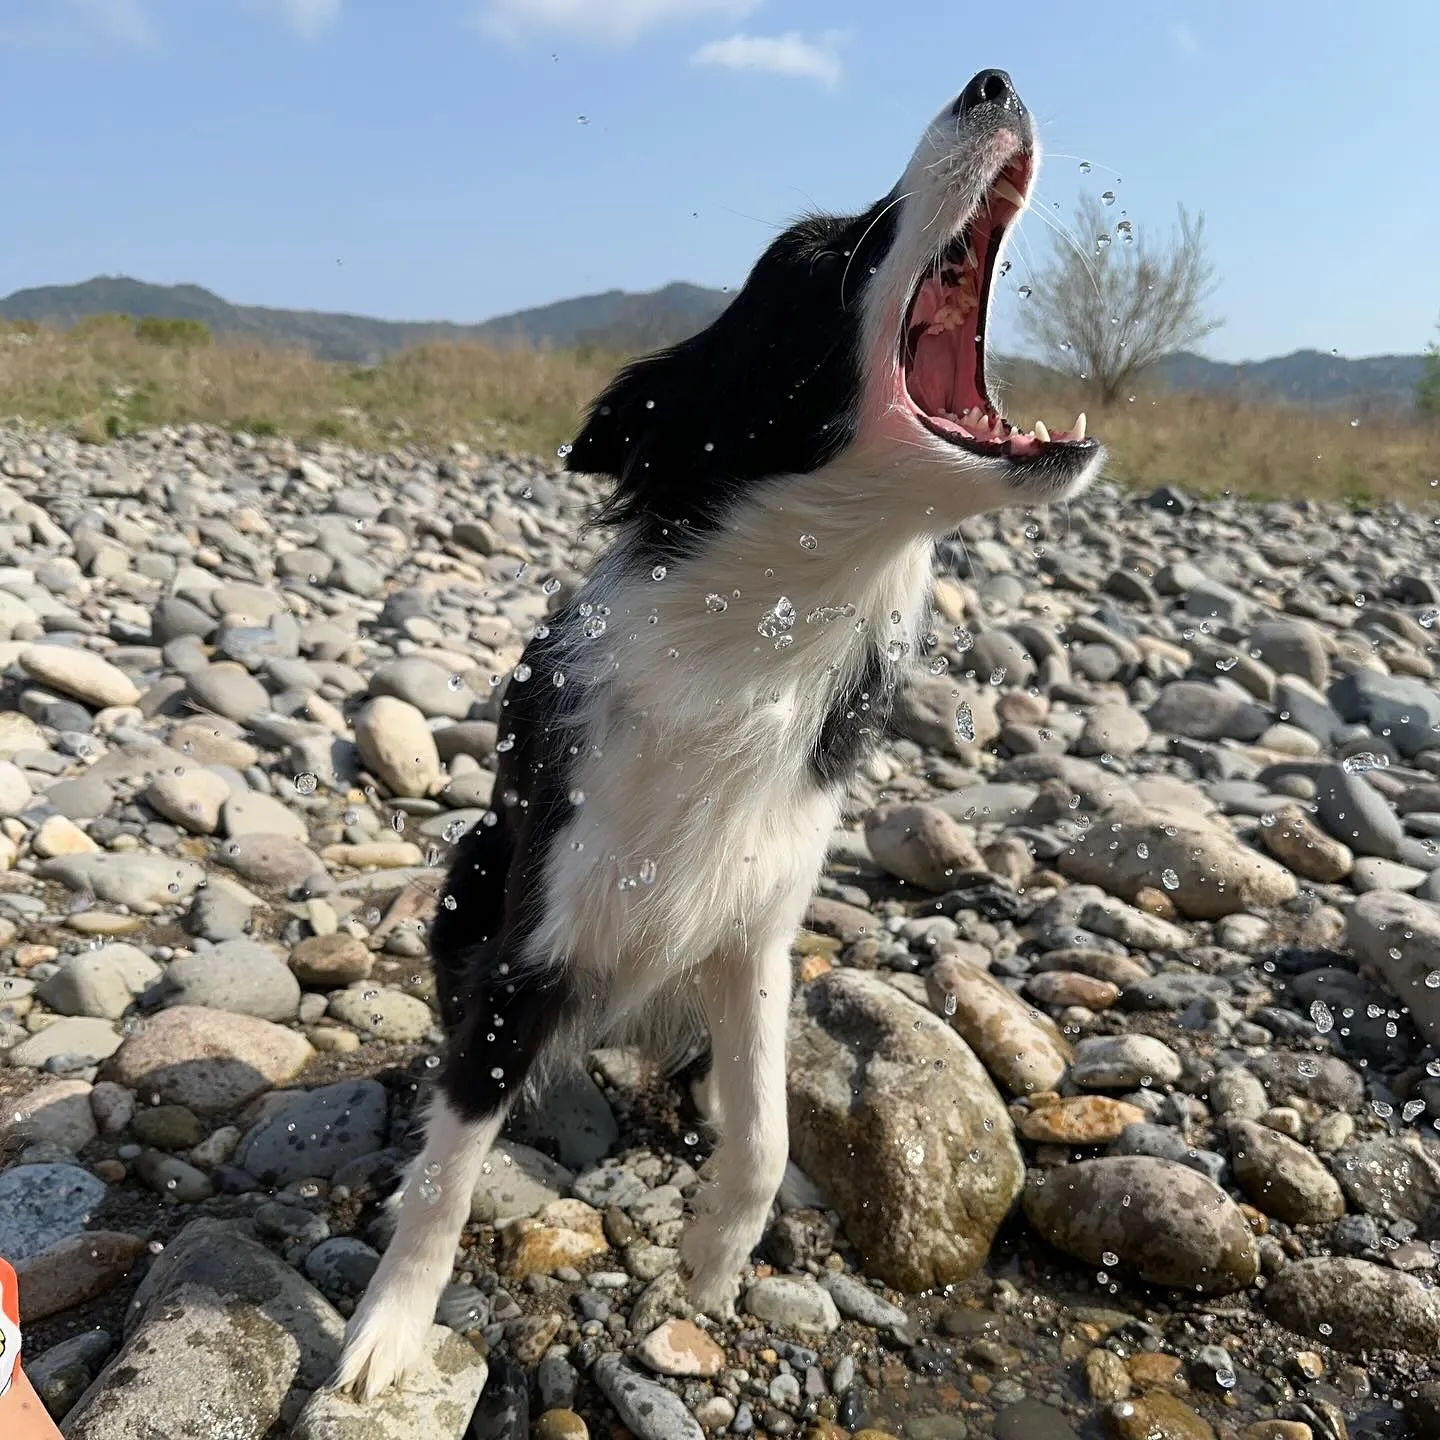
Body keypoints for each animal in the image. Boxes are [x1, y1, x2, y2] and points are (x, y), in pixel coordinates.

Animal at [334, 70, 1100, 1405]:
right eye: (819, 257)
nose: (993, 79)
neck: (762, 630)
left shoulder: (757, 935)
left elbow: (767, 1125)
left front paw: (714, 1261)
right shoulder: (530, 949)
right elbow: (447, 1167)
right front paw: (390, 1328)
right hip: (476, 868)